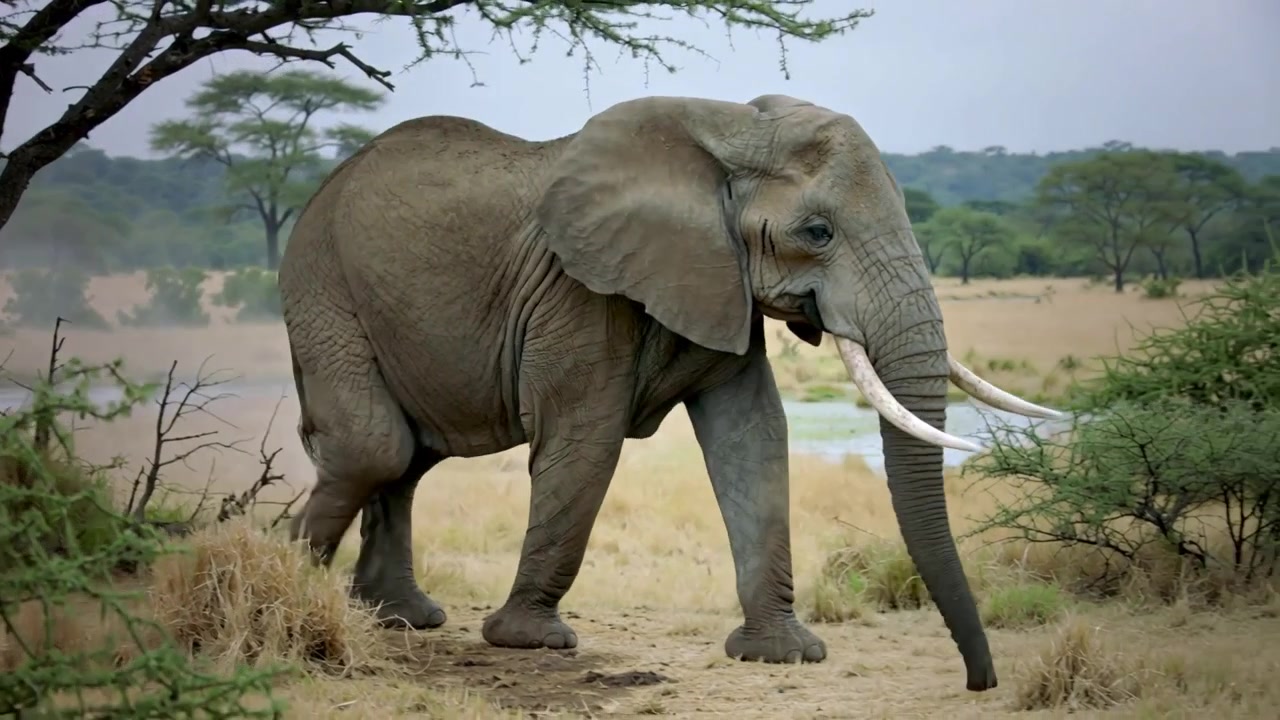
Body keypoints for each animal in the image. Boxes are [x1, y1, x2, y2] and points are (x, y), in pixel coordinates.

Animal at [277, 92, 1062, 692]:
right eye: (818, 232)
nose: (980, 683)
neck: (729, 131)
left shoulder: (721, 283)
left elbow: (754, 437)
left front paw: (782, 655)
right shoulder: (577, 290)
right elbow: (584, 439)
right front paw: (529, 641)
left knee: (406, 458)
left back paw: (400, 618)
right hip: (322, 288)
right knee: (375, 447)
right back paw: (275, 575)